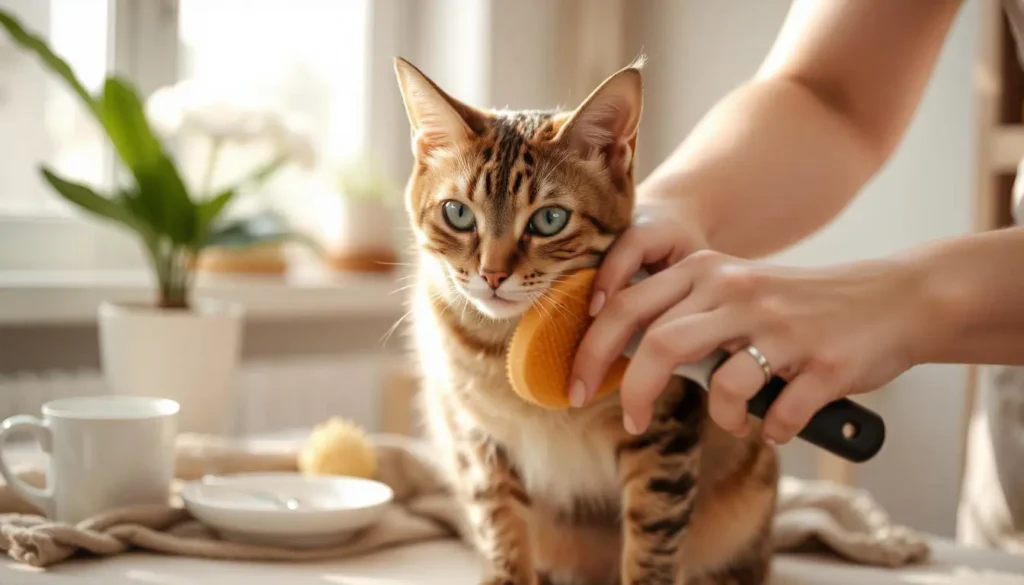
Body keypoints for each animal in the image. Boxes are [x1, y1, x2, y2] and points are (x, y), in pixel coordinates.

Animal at [391, 56, 774, 585]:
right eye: (458, 214)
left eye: (550, 220)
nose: (492, 274)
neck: (504, 346)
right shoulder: (480, 440)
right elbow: (501, 528)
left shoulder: (663, 431)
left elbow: (653, 539)